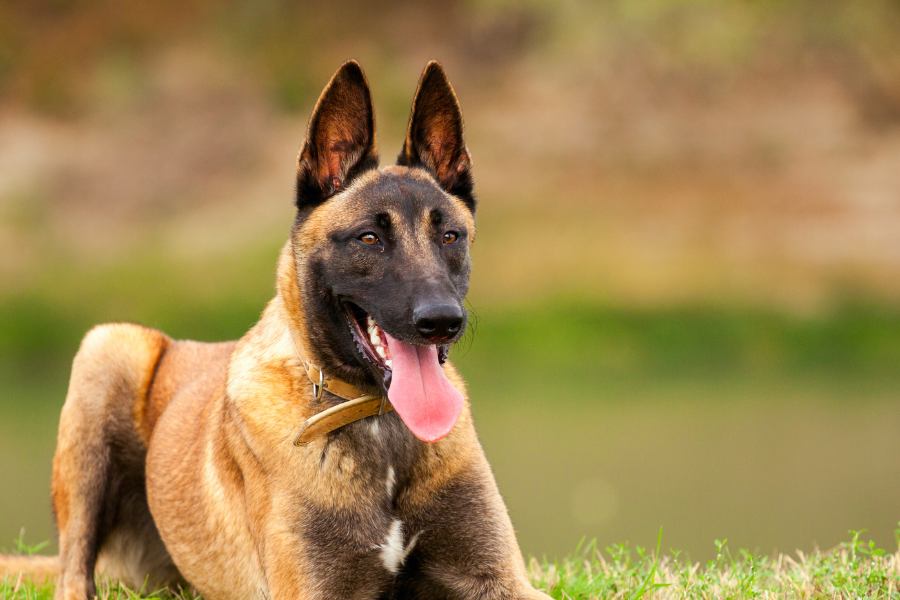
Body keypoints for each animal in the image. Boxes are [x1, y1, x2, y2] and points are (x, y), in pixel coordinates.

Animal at [0, 59, 552, 600]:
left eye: (451, 236)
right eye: (369, 238)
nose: (441, 321)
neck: (379, 423)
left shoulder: (501, 579)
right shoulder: (314, 590)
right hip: (108, 351)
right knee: (73, 575)